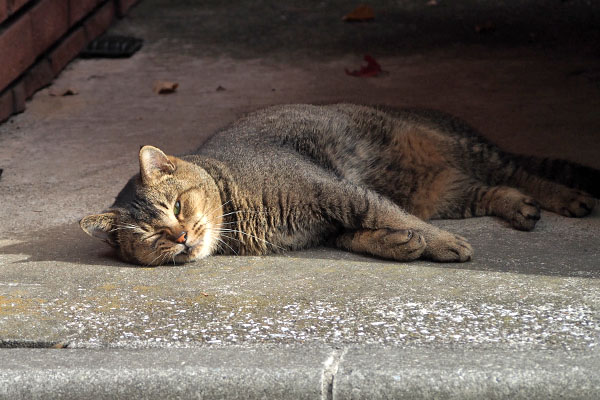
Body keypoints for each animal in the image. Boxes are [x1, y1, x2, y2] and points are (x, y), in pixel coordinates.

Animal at [78, 103, 596, 266]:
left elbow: (383, 212)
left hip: (466, 151)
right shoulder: (330, 222)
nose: (182, 237)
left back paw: (567, 197)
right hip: (441, 191)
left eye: (177, 208)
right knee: (486, 190)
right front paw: (401, 244)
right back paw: (518, 207)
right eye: (150, 236)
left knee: (520, 172)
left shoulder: (336, 191)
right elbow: (365, 233)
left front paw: (442, 243)